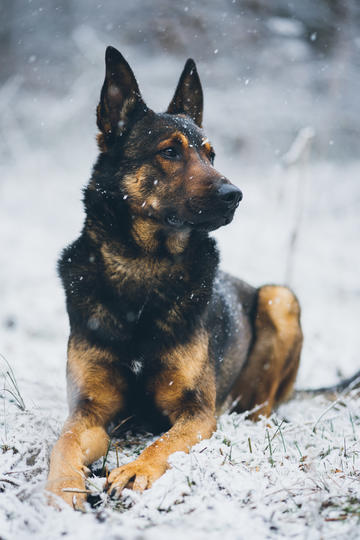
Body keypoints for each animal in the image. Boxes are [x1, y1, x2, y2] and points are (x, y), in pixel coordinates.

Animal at [45, 45, 304, 506]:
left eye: (211, 154)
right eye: (170, 152)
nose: (235, 195)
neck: (143, 267)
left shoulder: (195, 412)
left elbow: (163, 442)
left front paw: (135, 470)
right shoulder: (89, 411)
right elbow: (65, 441)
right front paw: (63, 486)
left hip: (280, 298)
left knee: (261, 408)